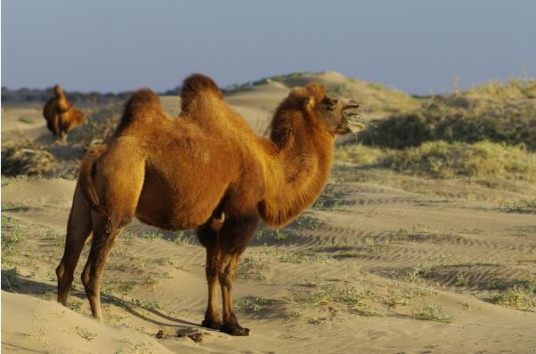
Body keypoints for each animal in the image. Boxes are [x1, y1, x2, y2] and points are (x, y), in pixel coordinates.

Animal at [55, 73, 364, 336]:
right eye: (331, 101)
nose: (357, 106)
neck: (269, 165)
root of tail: (98, 152)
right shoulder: (243, 211)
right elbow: (228, 272)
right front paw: (234, 324)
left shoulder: (213, 217)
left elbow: (211, 270)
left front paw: (211, 320)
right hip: (117, 199)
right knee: (91, 270)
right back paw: (100, 322)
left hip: (83, 205)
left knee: (67, 263)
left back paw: (63, 313)